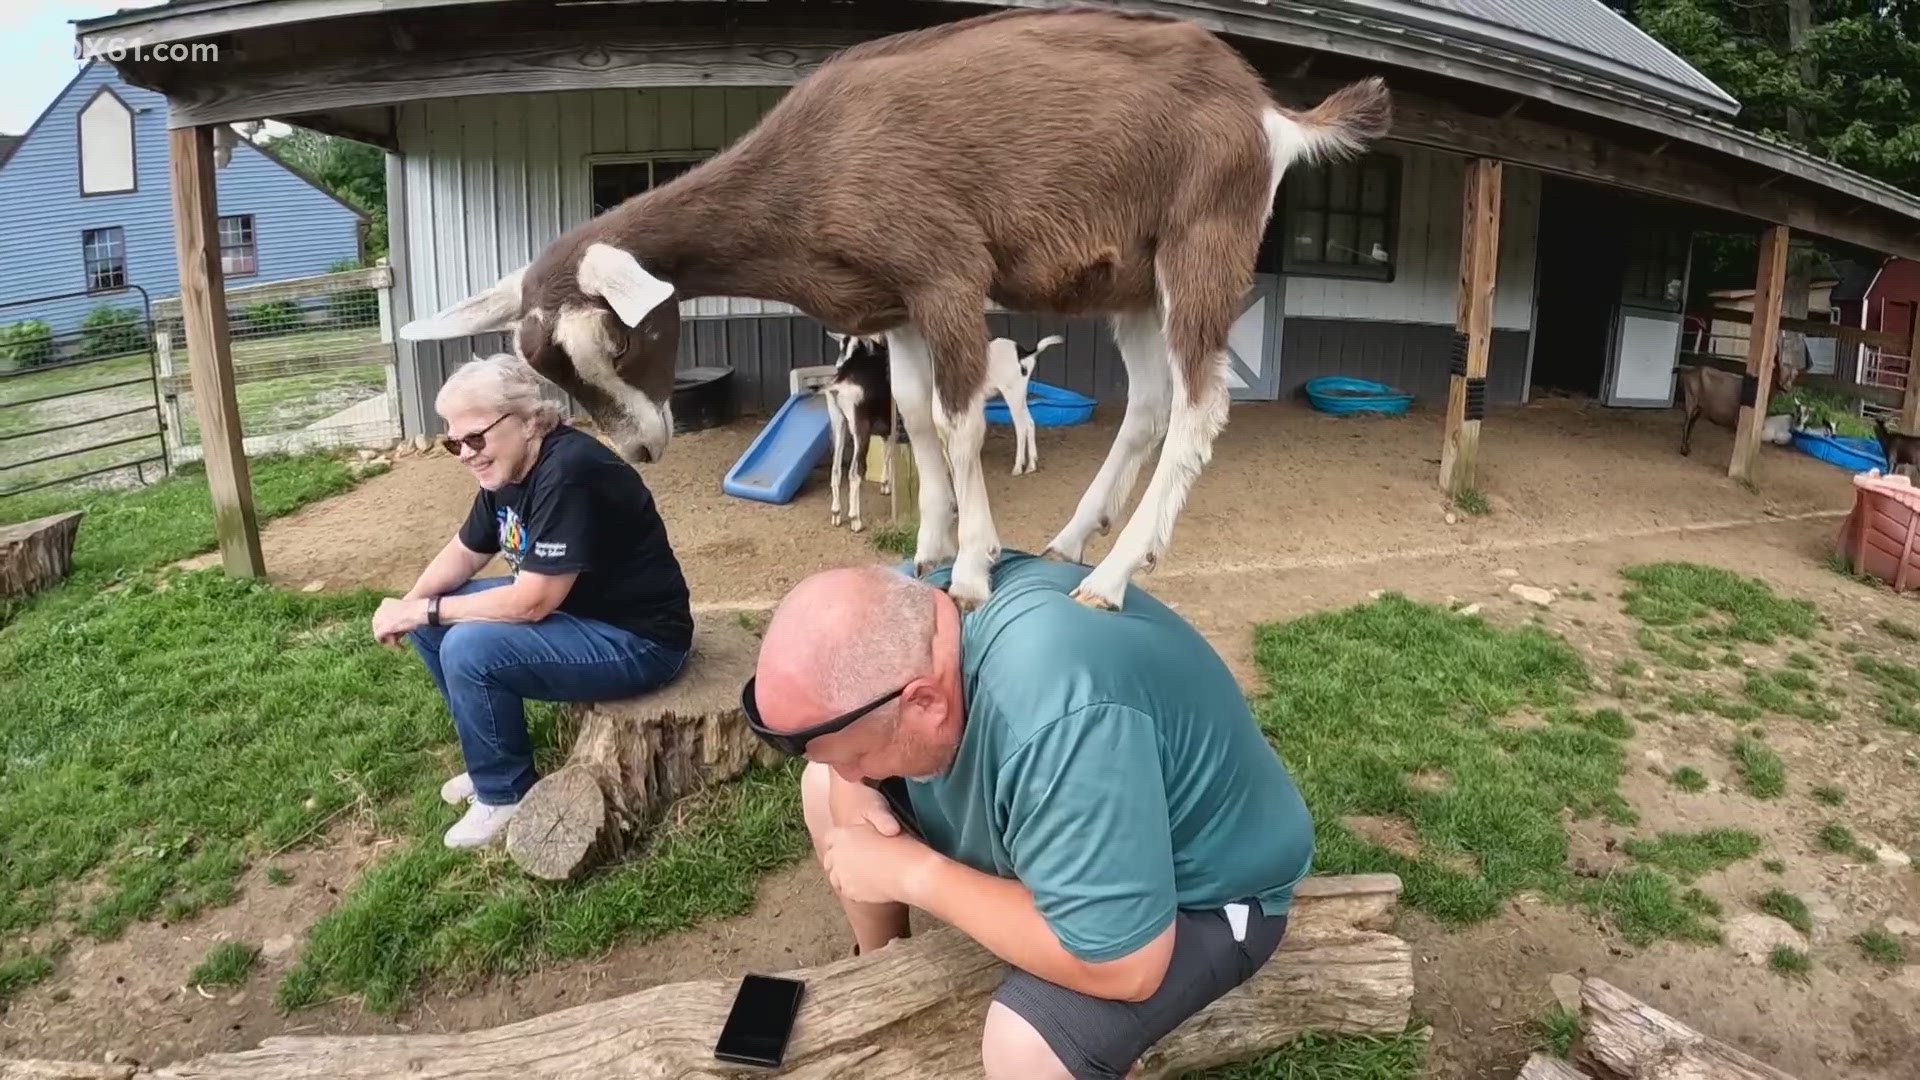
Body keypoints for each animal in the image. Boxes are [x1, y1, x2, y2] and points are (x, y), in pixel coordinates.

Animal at [397, 8, 1390, 611]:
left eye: (624, 333)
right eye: (546, 366)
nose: (641, 447)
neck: (811, 170)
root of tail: (1271, 116)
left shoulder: (946, 272)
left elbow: (959, 420)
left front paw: (975, 571)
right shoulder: (898, 302)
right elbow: (912, 414)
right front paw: (928, 549)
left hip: (1202, 241)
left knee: (1200, 404)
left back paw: (1110, 576)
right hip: (1133, 283)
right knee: (1148, 403)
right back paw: (1073, 538)